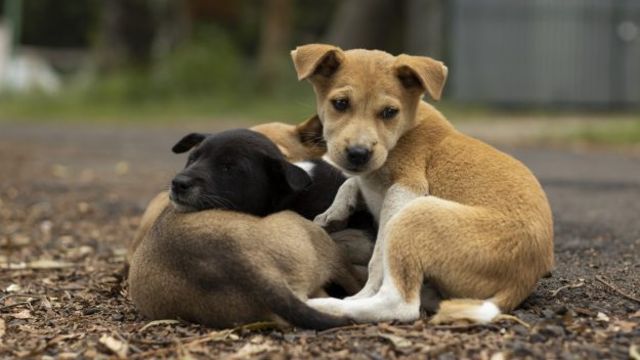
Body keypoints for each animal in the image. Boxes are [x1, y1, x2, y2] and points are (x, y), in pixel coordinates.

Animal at [292, 44, 556, 324]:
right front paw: (333, 212)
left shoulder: (406, 189)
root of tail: (522, 281)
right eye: (340, 104)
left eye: (389, 112)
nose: (358, 153)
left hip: (417, 215)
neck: (404, 130)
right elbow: (351, 182)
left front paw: (363, 290)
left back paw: (331, 305)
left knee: (401, 304)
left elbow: (377, 258)